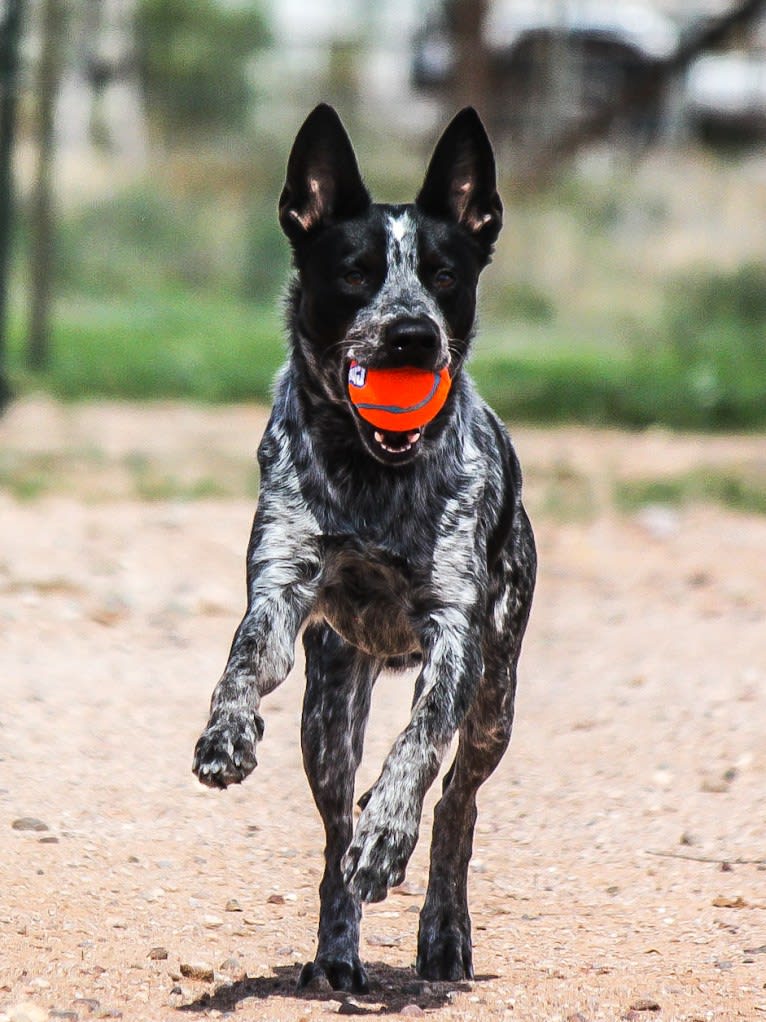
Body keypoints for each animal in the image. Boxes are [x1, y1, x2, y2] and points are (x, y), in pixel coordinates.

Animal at [192, 103, 535, 989]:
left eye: (443, 275)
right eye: (353, 274)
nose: (411, 336)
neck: (372, 474)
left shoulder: (456, 638)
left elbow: (416, 750)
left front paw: (390, 834)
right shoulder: (280, 593)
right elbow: (242, 660)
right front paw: (225, 733)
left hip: (496, 698)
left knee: (456, 803)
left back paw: (441, 928)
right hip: (328, 713)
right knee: (330, 835)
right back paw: (337, 951)